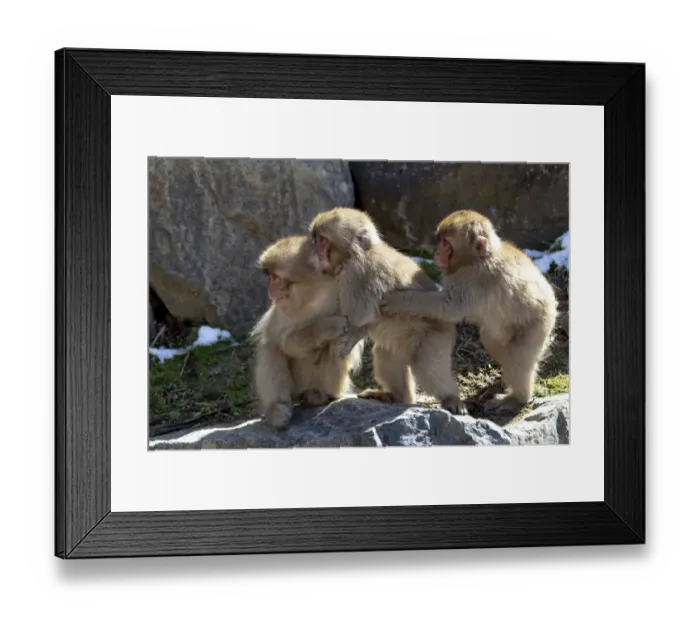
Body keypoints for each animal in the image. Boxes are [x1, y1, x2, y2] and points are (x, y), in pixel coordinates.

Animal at [250, 235, 365, 430]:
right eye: (270, 277)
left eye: (275, 278)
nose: (270, 290)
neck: (313, 294)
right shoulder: (281, 310)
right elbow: (285, 342)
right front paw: (326, 327)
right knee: (270, 349)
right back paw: (277, 409)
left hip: (335, 384)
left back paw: (319, 395)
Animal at [309, 207, 467, 416]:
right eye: (316, 239)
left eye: (323, 241)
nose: (316, 252)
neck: (355, 255)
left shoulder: (357, 274)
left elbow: (363, 314)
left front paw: (356, 333)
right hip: (400, 345)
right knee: (386, 355)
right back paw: (398, 397)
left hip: (436, 337)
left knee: (427, 367)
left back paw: (451, 398)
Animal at [380, 210, 558, 413]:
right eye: (440, 240)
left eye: (446, 243)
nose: (437, 252)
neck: (478, 258)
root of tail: (552, 300)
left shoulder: (472, 279)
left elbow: (449, 307)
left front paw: (398, 301)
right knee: (493, 342)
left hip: (537, 325)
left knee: (518, 359)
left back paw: (517, 398)